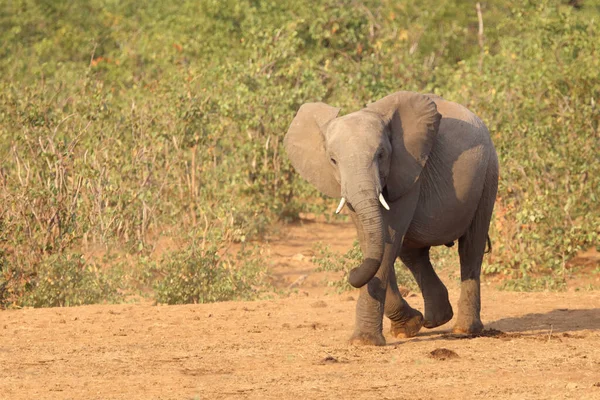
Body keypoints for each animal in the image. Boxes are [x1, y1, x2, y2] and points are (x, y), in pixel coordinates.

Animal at [284, 90, 500, 344]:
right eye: (333, 160)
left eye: (381, 155)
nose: (352, 271)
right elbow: (372, 241)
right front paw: (408, 327)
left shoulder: (408, 172)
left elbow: (388, 239)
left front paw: (364, 342)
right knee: (412, 252)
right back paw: (435, 320)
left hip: (488, 173)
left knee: (470, 248)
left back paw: (464, 330)